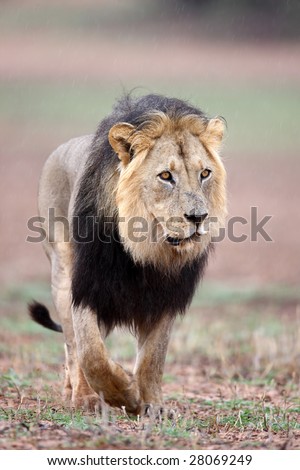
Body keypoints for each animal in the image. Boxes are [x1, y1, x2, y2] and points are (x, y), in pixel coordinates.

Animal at [28, 92, 227, 414]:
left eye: (205, 174)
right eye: (166, 176)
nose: (198, 217)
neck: (146, 249)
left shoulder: (167, 296)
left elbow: (153, 358)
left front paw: (152, 404)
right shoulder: (86, 285)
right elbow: (91, 353)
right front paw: (121, 395)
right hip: (60, 272)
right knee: (72, 346)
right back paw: (79, 394)